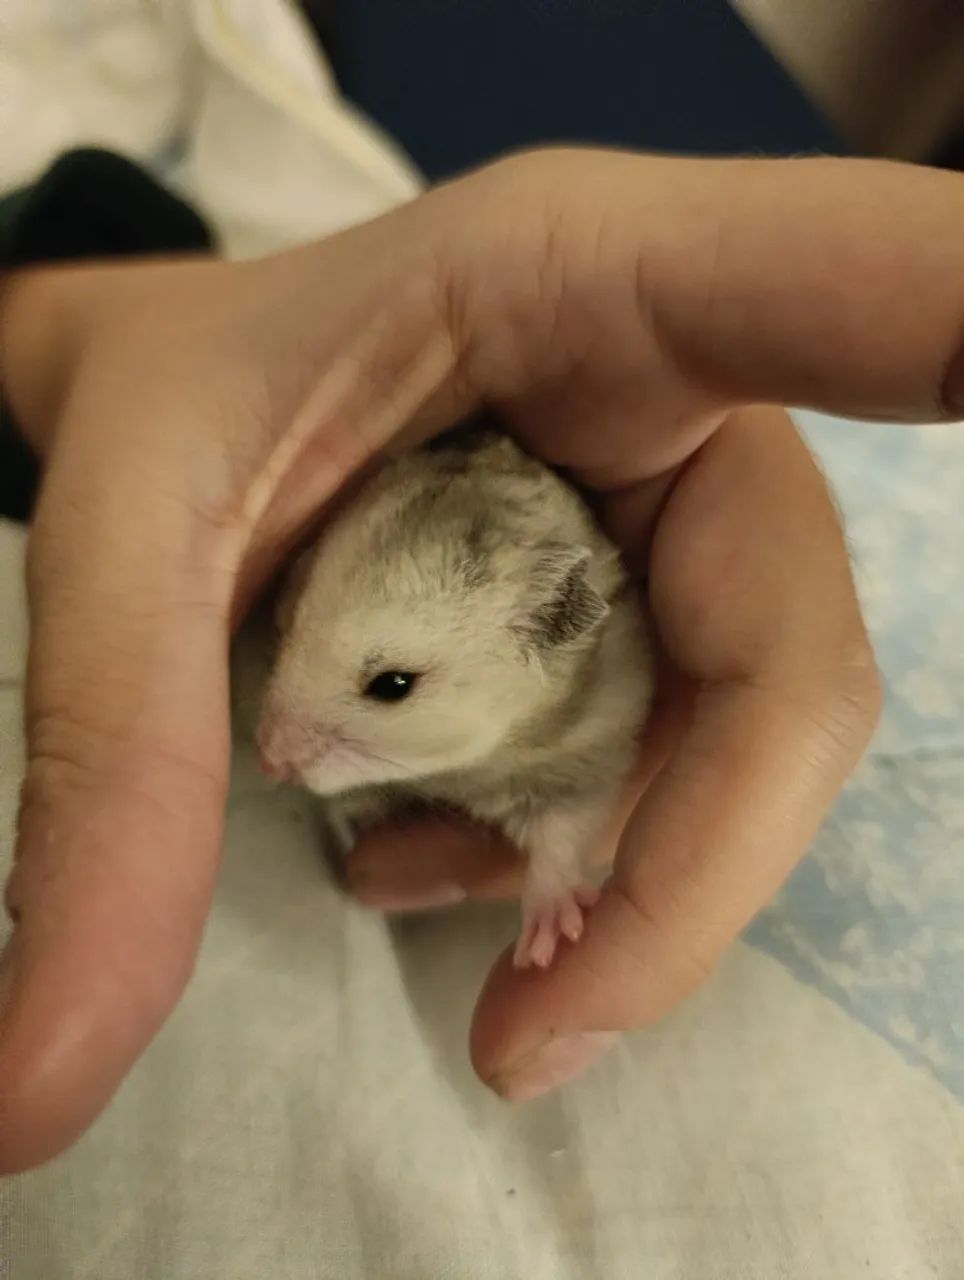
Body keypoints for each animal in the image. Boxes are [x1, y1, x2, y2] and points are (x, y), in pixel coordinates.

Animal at [255, 430, 654, 968]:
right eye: (290, 617)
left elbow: (561, 831)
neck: (464, 768)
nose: (267, 760)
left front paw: (547, 945)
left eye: (393, 685)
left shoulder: (591, 748)